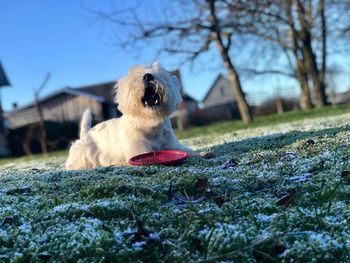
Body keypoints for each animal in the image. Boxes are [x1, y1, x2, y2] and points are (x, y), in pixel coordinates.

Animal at [64, 62, 193, 170]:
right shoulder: (139, 151)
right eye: (135, 77)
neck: (151, 124)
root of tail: (85, 133)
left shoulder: (173, 145)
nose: (148, 76)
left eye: (160, 73)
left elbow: (188, 151)